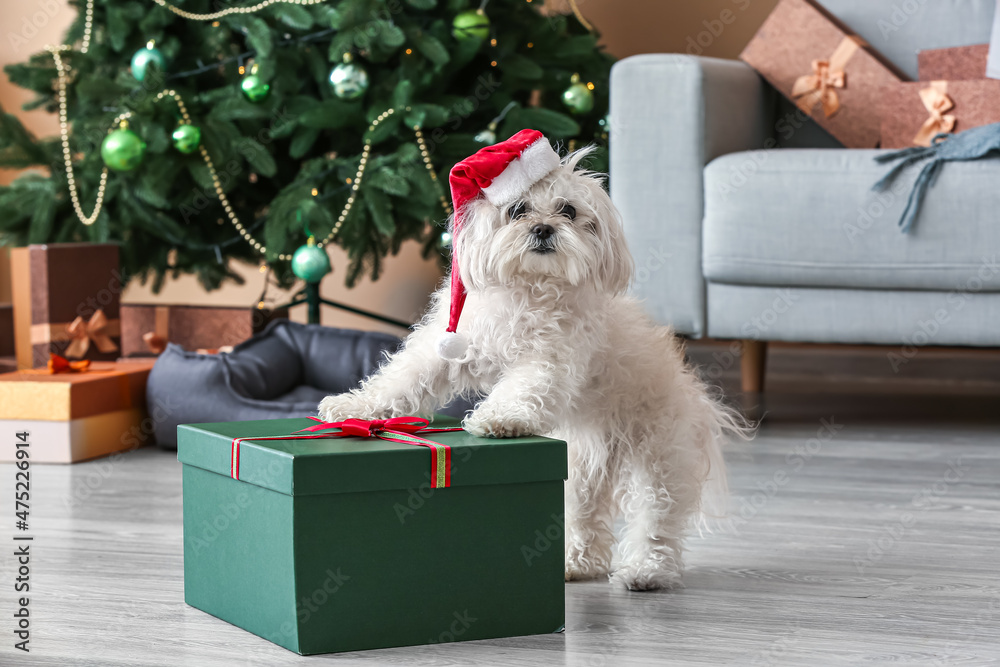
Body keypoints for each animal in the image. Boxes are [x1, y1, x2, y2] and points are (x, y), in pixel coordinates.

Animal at [320, 146, 744, 588]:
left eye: (568, 210)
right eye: (517, 209)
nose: (542, 229)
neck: (529, 286)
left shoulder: (548, 359)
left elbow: (524, 388)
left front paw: (500, 419)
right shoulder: (448, 348)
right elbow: (401, 380)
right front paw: (354, 409)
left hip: (657, 455)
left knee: (656, 516)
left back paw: (647, 570)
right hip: (582, 466)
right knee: (584, 516)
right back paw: (575, 563)